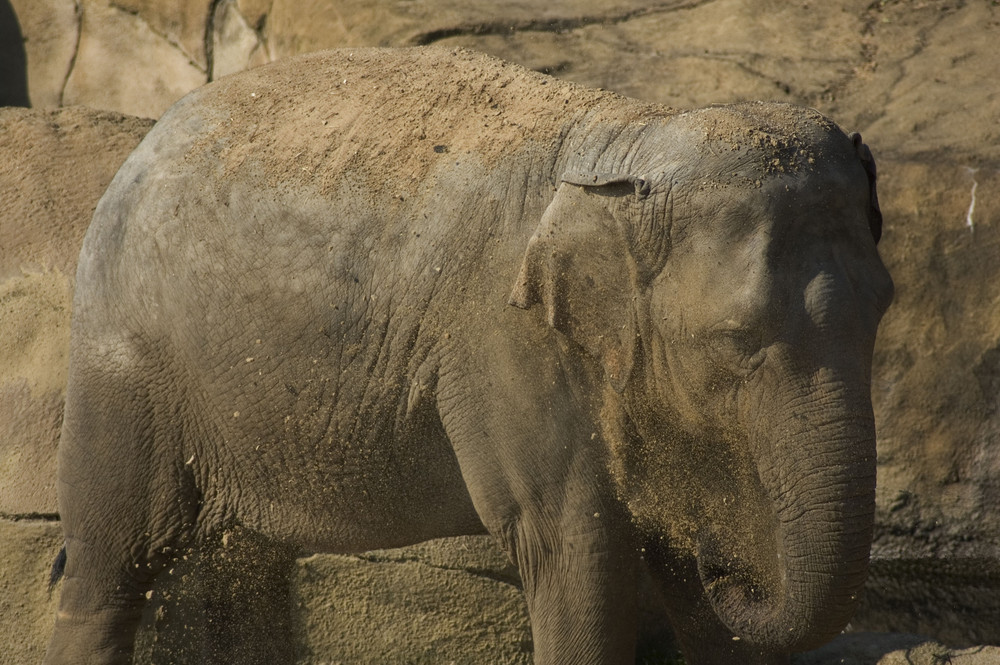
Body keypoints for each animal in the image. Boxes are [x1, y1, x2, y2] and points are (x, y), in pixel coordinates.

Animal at [45, 46, 892, 664]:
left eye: (884, 308)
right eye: (736, 337)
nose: (733, 572)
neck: (633, 135)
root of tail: (142, 145)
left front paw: (696, 562)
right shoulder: (509, 342)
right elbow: (577, 552)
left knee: (238, 575)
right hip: (126, 360)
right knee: (110, 561)